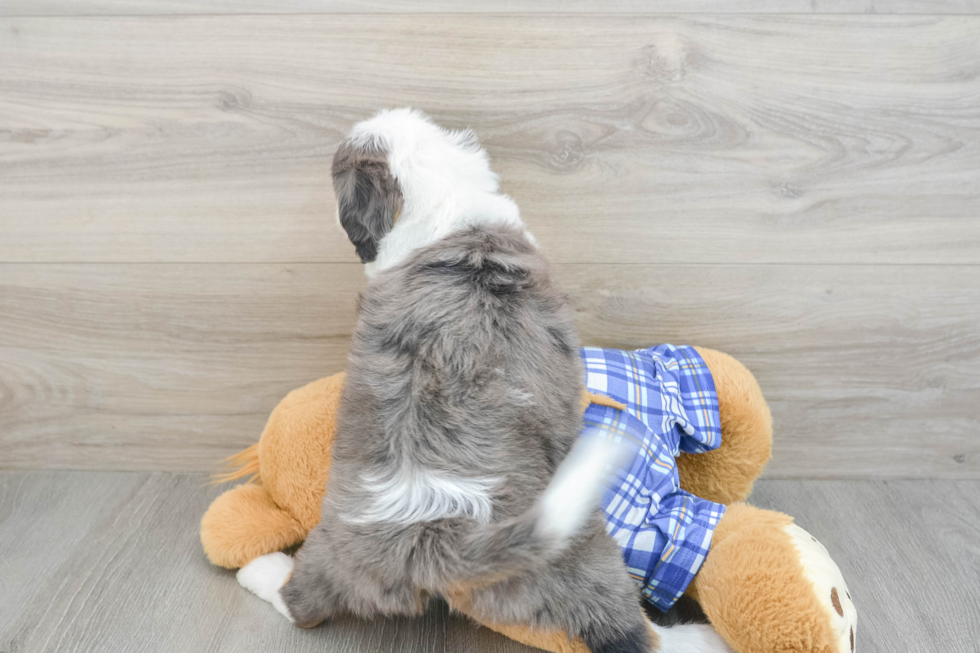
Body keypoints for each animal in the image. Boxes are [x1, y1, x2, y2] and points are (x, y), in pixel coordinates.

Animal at [235, 108, 728, 652]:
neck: (451, 213)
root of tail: (437, 534)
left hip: (338, 553)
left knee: (300, 601)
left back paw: (259, 571)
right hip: (588, 559)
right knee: (638, 634)